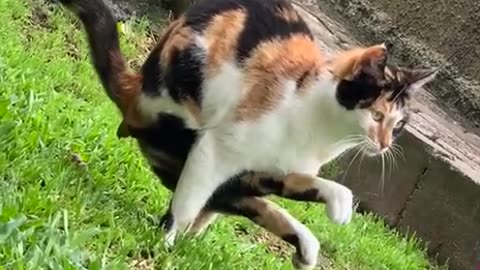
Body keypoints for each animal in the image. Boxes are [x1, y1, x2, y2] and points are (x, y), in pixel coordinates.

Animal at [58, 0, 436, 268]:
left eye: (399, 125)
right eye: (377, 115)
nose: (385, 145)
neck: (320, 134)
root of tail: (133, 91)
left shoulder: (276, 168)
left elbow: (299, 183)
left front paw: (339, 203)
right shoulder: (217, 149)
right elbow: (188, 203)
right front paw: (164, 245)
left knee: (234, 199)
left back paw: (302, 245)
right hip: (179, 125)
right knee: (209, 192)